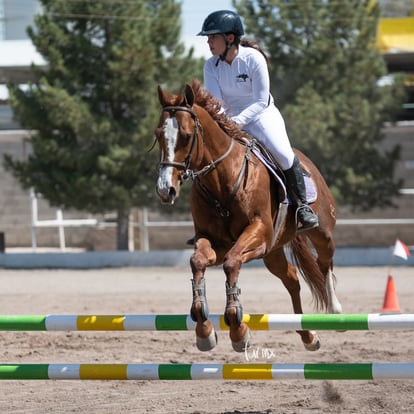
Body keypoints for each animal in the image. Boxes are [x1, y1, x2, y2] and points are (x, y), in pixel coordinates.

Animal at [154, 78, 342, 352]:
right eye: (158, 135)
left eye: (187, 137)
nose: (164, 189)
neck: (222, 180)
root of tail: (307, 161)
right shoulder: (216, 242)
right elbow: (198, 261)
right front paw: (204, 328)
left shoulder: (257, 233)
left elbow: (232, 262)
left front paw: (237, 327)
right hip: (272, 252)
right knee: (292, 279)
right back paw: (307, 335)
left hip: (321, 233)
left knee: (324, 261)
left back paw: (335, 310)